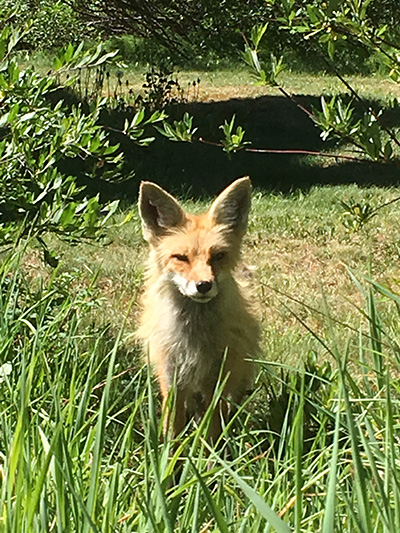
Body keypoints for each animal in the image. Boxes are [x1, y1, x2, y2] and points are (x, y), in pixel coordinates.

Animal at [136, 177, 260, 438]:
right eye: (181, 258)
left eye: (218, 256)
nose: (204, 285)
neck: (195, 340)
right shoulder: (171, 378)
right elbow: (172, 430)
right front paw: (170, 451)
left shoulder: (218, 380)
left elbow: (212, 432)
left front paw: (209, 450)